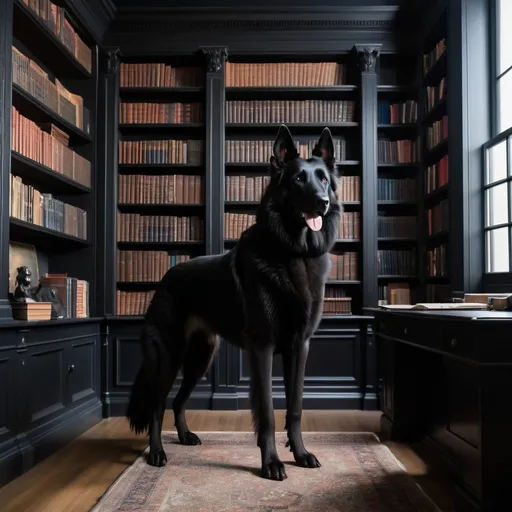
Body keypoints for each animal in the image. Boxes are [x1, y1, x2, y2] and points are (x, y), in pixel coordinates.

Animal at [127, 124, 342, 480]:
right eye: (298, 179)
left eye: (323, 179)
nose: (322, 203)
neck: (293, 253)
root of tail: (167, 277)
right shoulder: (263, 348)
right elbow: (267, 411)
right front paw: (271, 462)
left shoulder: (300, 347)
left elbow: (295, 407)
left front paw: (300, 454)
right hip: (169, 357)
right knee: (157, 405)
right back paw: (157, 452)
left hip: (200, 359)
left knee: (177, 401)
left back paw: (184, 436)